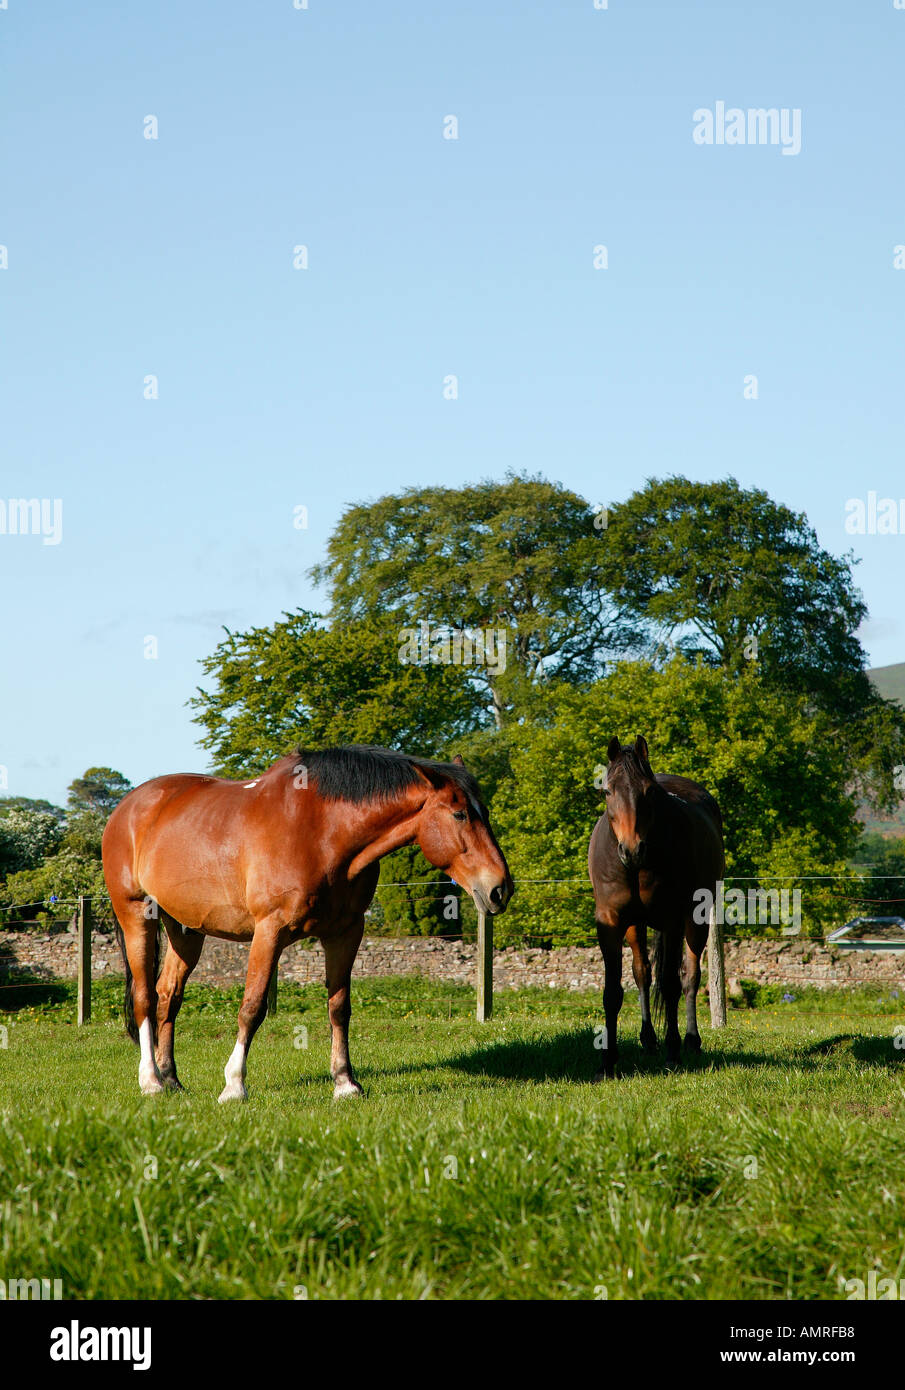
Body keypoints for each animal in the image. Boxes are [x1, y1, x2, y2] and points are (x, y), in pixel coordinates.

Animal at [102, 745, 514, 1100]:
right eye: (460, 814)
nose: (500, 889)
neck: (321, 830)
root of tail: (129, 807)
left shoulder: (345, 932)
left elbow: (339, 1007)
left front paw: (345, 1083)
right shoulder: (269, 930)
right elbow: (252, 1007)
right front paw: (234, 1085)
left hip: (185, 929)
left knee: (168, 997)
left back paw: (171, 1078)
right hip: (136, 915)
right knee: (145, 997)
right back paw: (151, 1081)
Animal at [586, 739, 728, 1073]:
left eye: (649, 792)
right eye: (607, 791)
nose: (632, 849)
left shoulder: (674, 920)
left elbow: (671, 984)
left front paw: (673, 1052)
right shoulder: (610, 922)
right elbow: (613, 991)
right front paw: (608, 1060)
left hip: (697, 920)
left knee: (690, 977)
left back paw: (691, 1041)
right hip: (636, 924)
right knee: (642, 974)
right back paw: (649, 1038)